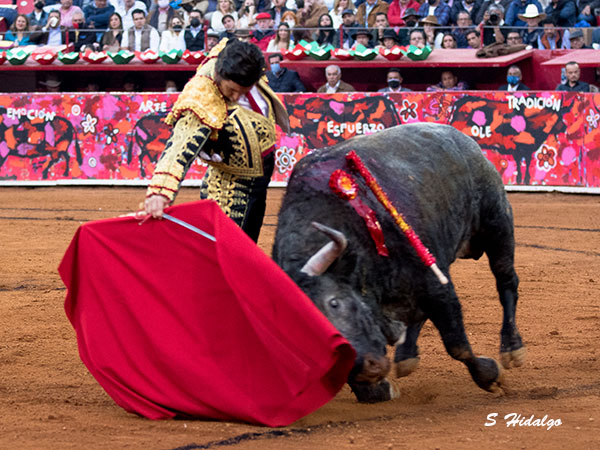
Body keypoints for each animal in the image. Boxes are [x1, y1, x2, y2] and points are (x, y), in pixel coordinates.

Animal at [272, 123, 525, 403]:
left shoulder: (436, 284)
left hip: (497, 227)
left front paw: (491, 376)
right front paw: (376, 388)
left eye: (335, 303)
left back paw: (512, 348)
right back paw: (407, 356)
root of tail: (466, 141)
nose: (366, 368)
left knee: (506, 282)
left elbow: (457, 344)